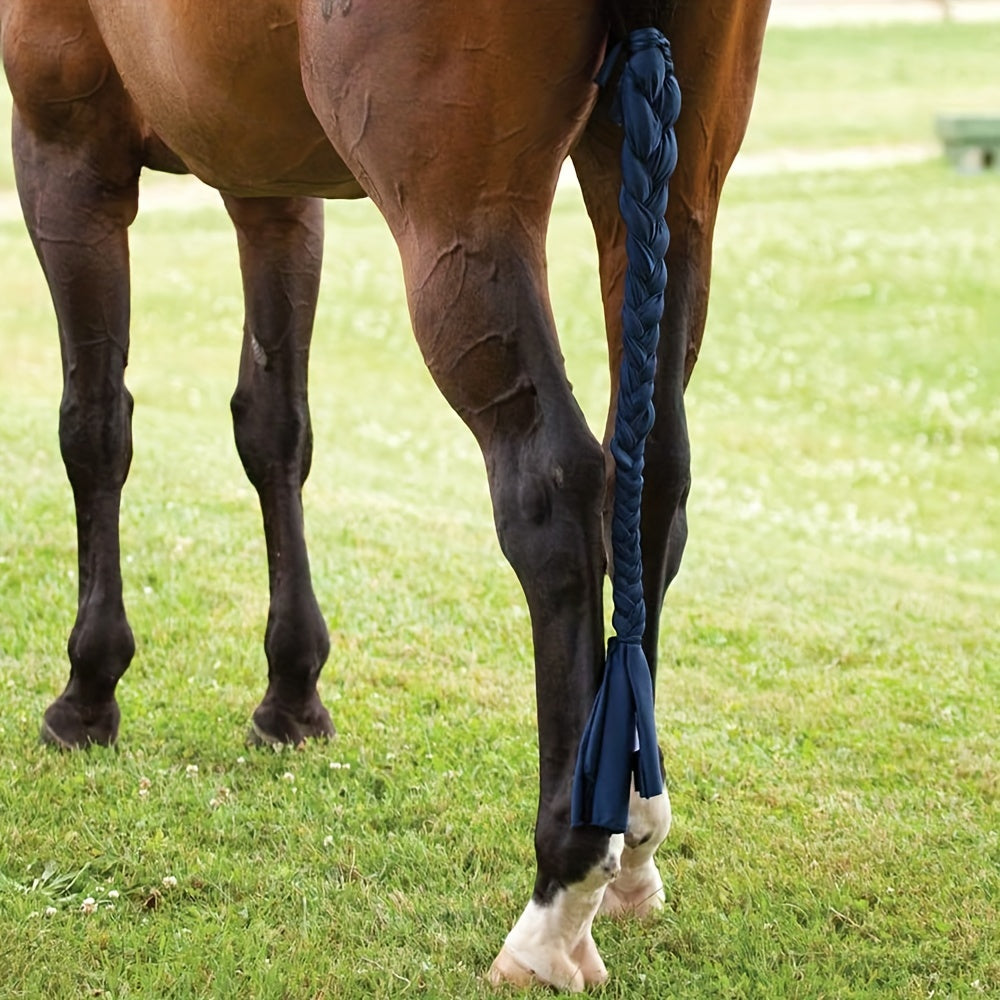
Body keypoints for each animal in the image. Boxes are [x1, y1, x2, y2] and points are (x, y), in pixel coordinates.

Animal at [0, 0, 770, 989]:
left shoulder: (66, 145)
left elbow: (94, 427)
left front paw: (89, 690)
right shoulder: (272, 185)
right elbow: (273, 428)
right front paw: (292, 694)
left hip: (459, 222)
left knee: (557, 490)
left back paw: (557, 898)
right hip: (674, 196)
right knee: (651, 489)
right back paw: (631, 840)